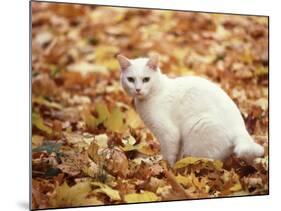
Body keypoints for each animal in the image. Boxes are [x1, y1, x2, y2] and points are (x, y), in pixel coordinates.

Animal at [116, 53, 262, 166]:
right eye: (130, 79)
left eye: (146, 79)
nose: (138, 89)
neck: (155, 93)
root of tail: (241, 128)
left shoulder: (169, 134)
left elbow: (168, 156)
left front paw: (167, 171)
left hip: (197, 130)